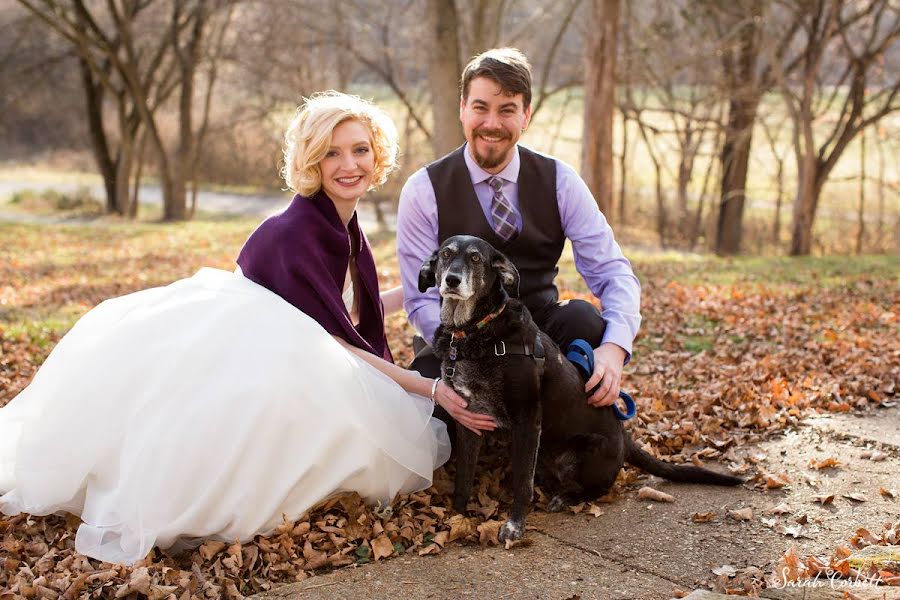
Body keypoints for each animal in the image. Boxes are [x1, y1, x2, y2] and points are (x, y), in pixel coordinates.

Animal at [418, 237, 740, 540]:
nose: (452, 280)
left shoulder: (527, 419)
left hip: (584, 454)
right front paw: (458, 516)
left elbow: (522, 483)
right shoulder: (468, 418)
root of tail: (625, 437)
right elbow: (464, 477)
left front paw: (514, 525)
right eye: (446, 254)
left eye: (475, 258)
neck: (474, 331)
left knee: (595, 489)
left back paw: (565, 498)